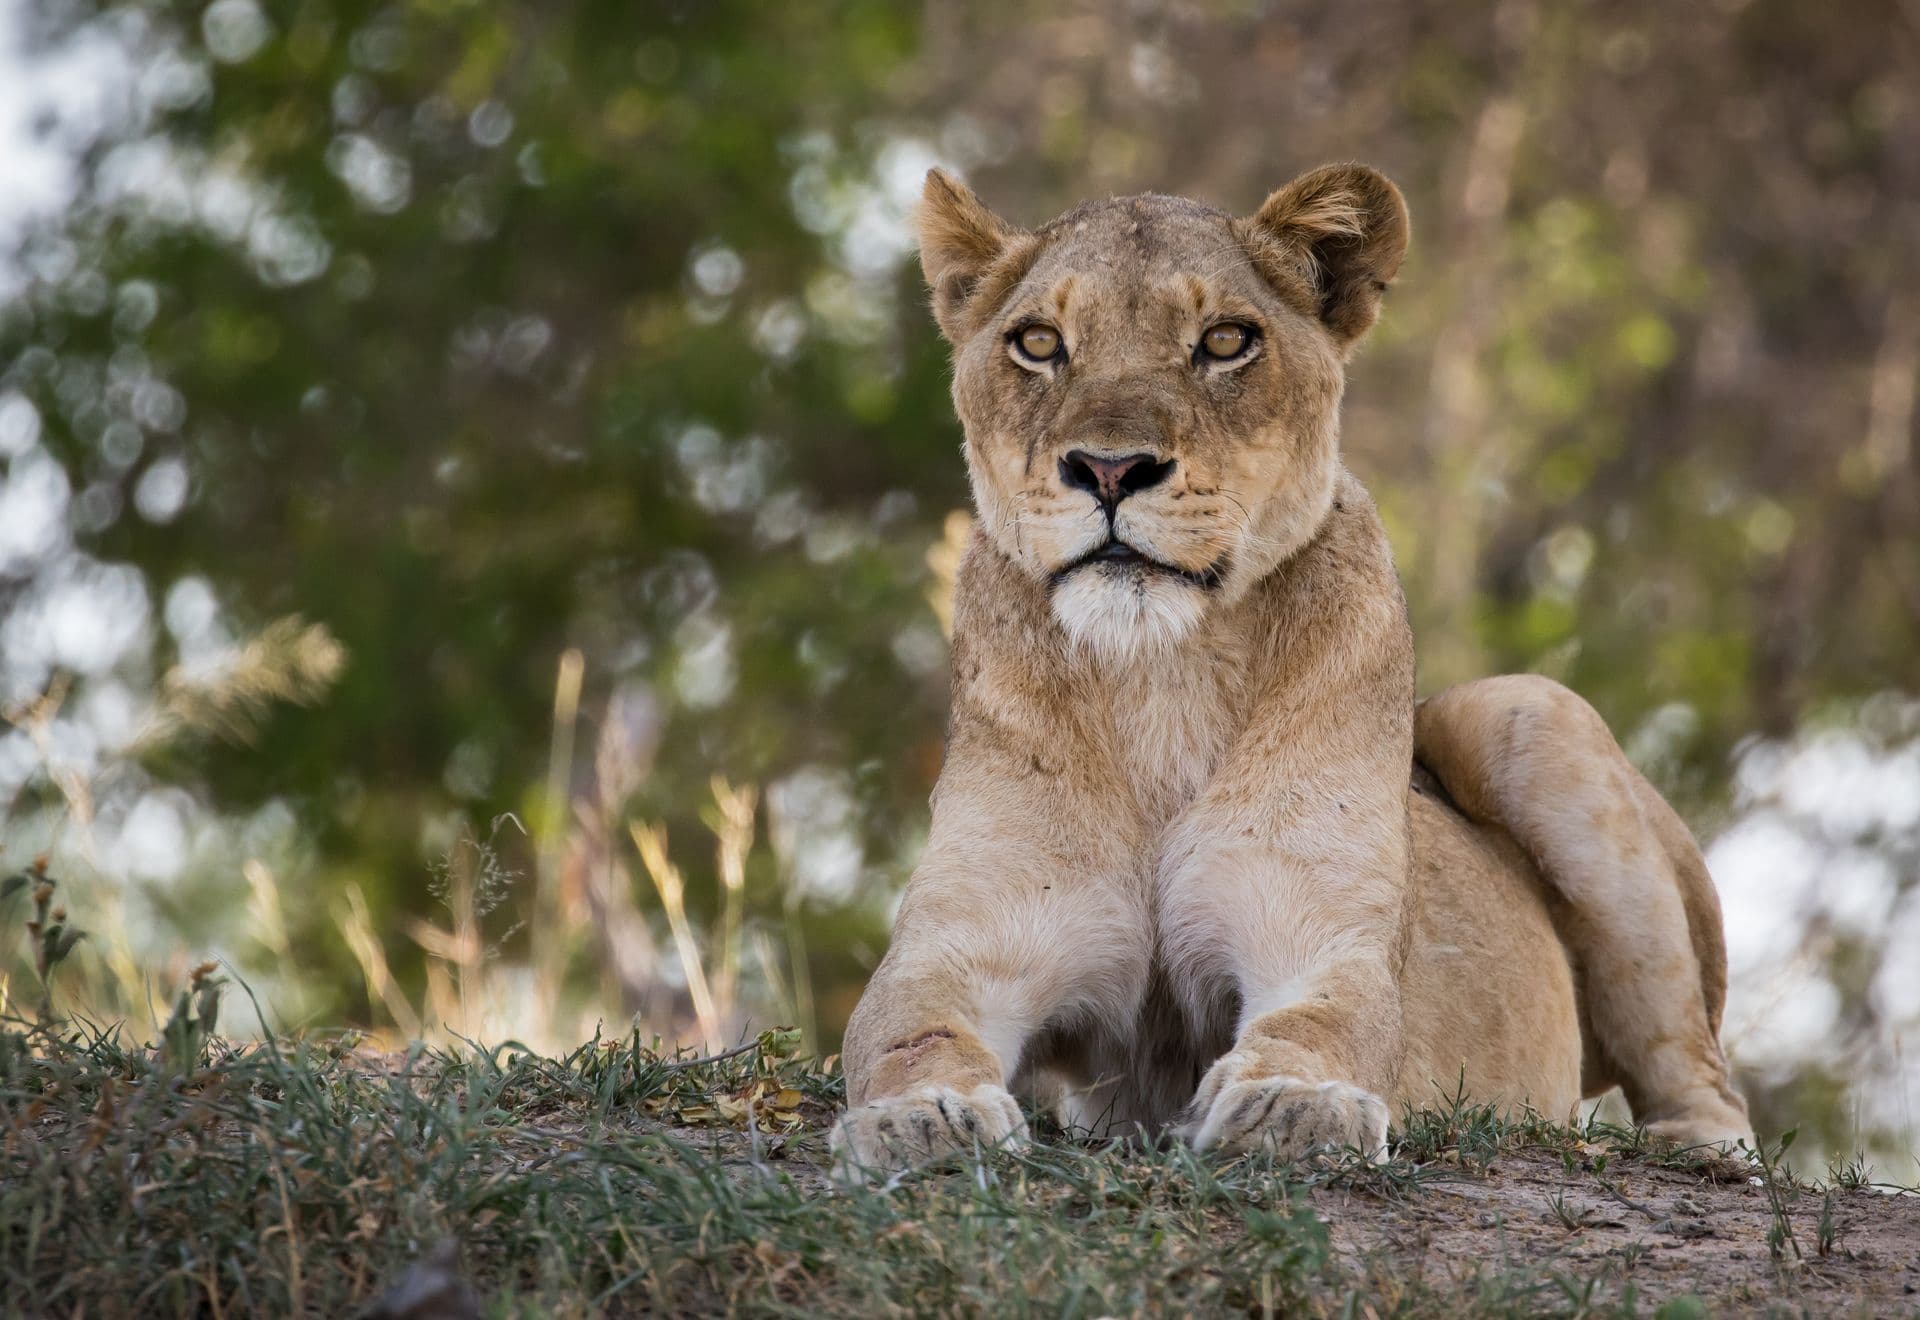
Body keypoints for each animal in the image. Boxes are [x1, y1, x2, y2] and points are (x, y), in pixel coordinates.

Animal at [829, 163, 1752, 1177]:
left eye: (1226, 340)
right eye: (1038, 343)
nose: (1110, 470)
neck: (1161, 677)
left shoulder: (1323, 932)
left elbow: (1322, 1023)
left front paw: (1293, 1105)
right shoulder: (961, 940)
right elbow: (903, 1029)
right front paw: (922, 1119)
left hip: (1528, 712)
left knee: (1699, 1073)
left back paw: (1699, 1153)